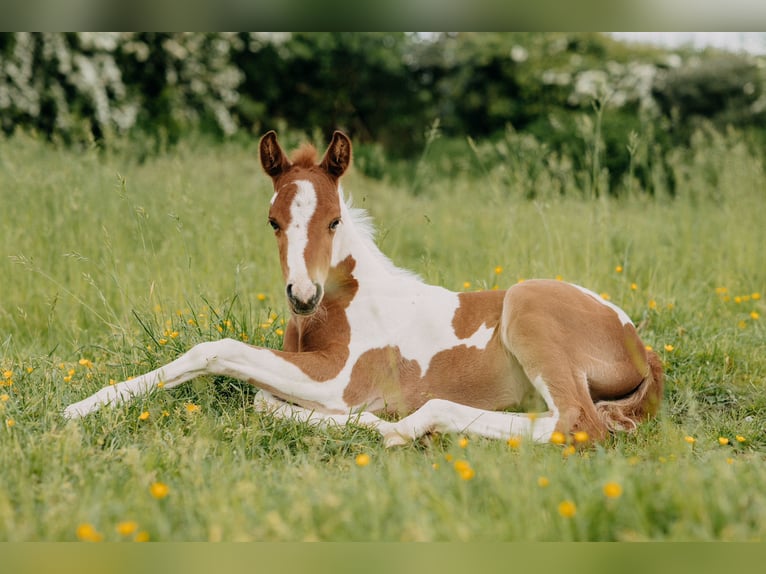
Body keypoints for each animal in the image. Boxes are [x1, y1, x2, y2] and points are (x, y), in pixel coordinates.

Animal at [64, 130, 663, 446]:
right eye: (272, 221)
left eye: (333, 220)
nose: (302, 295)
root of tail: (640, 344)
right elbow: (259, 398)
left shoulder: (339, 380)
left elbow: (215, 350)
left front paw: (80, 408)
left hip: (528, 306)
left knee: (576, 422)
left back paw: (404, 426)